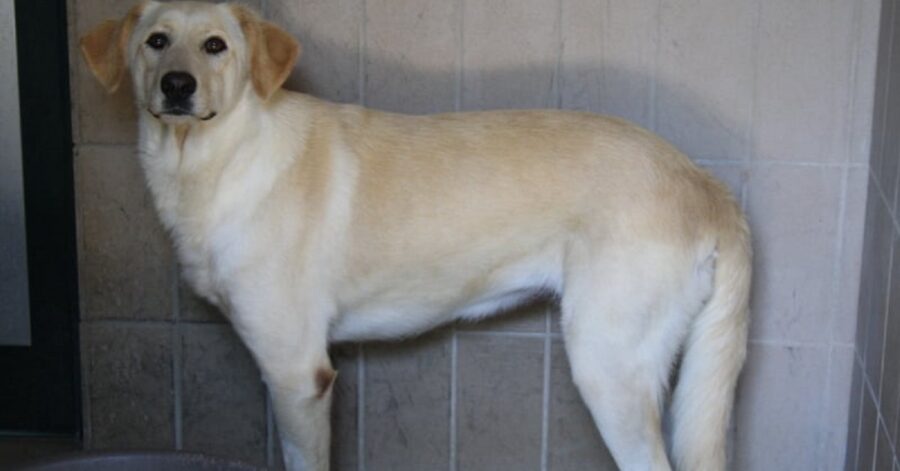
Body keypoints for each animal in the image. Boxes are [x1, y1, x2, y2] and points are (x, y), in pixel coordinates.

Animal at [79, 1, 752, 470]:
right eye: (156, 42)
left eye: (215, 46)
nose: (177, 85)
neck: (214, 160)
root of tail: (702, 181)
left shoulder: (298, 376)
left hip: (608, 367)